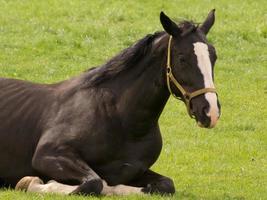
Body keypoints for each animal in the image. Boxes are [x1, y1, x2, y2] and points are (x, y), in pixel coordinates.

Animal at [0, 10, 222, 196]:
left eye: (214, 56)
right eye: (182, 58)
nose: (210, 112)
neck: (118, 117)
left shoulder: (135, 169)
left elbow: (165, 185)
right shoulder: (48, 154)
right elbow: (95, 182)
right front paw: (32, 182)